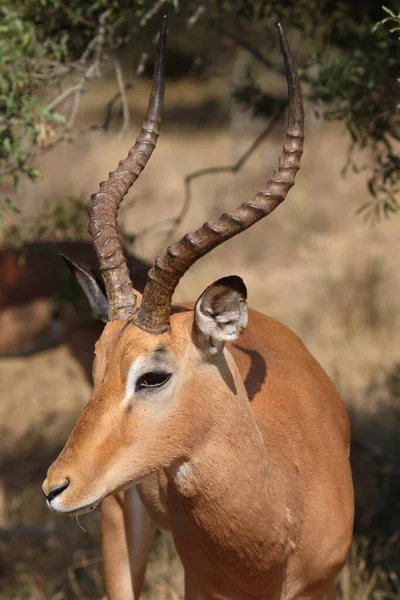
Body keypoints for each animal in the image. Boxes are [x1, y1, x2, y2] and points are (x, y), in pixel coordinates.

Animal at [43, 19, 354, 600]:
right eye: (96, 367)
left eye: (152, 376)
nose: (55, 486)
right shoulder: (201, 585)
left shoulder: (321, 585)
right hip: (115, 519)